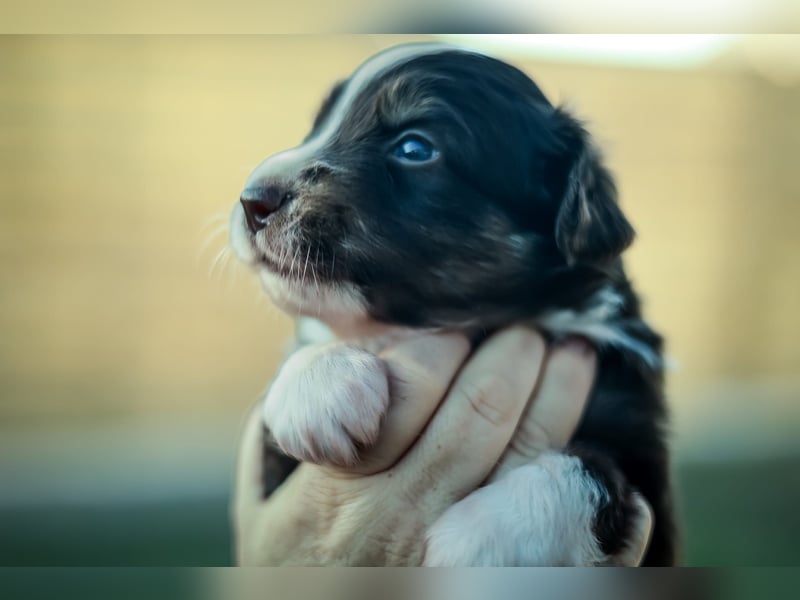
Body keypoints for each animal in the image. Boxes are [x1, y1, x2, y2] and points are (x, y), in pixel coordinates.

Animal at [228, 44, 680, 564]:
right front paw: (320, 385)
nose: (251, 200)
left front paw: (489, 536)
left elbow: (590, 473)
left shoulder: (641, 453)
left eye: (414, 148)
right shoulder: (270, 475)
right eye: (316, 126)